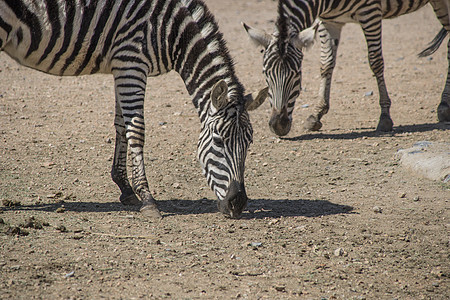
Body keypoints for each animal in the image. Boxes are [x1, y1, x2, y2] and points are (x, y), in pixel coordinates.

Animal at [0, 0, 268, 218]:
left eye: (249, 143)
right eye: (219, 141)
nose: (238, 205)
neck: (171, 30)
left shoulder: (122, 65)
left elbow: (121, 125)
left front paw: (125, 188)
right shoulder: (131, 62)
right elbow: (136, 129)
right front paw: (147, 198)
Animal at [244, 0, 448, 136]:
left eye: (297, 75)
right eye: (265, 74)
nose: (278, 126)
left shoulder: (370, 12)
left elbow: (375, 61)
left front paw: (385, 117)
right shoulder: (329, 20)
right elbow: (326, 63)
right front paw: (317, 114)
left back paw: (444, 106)